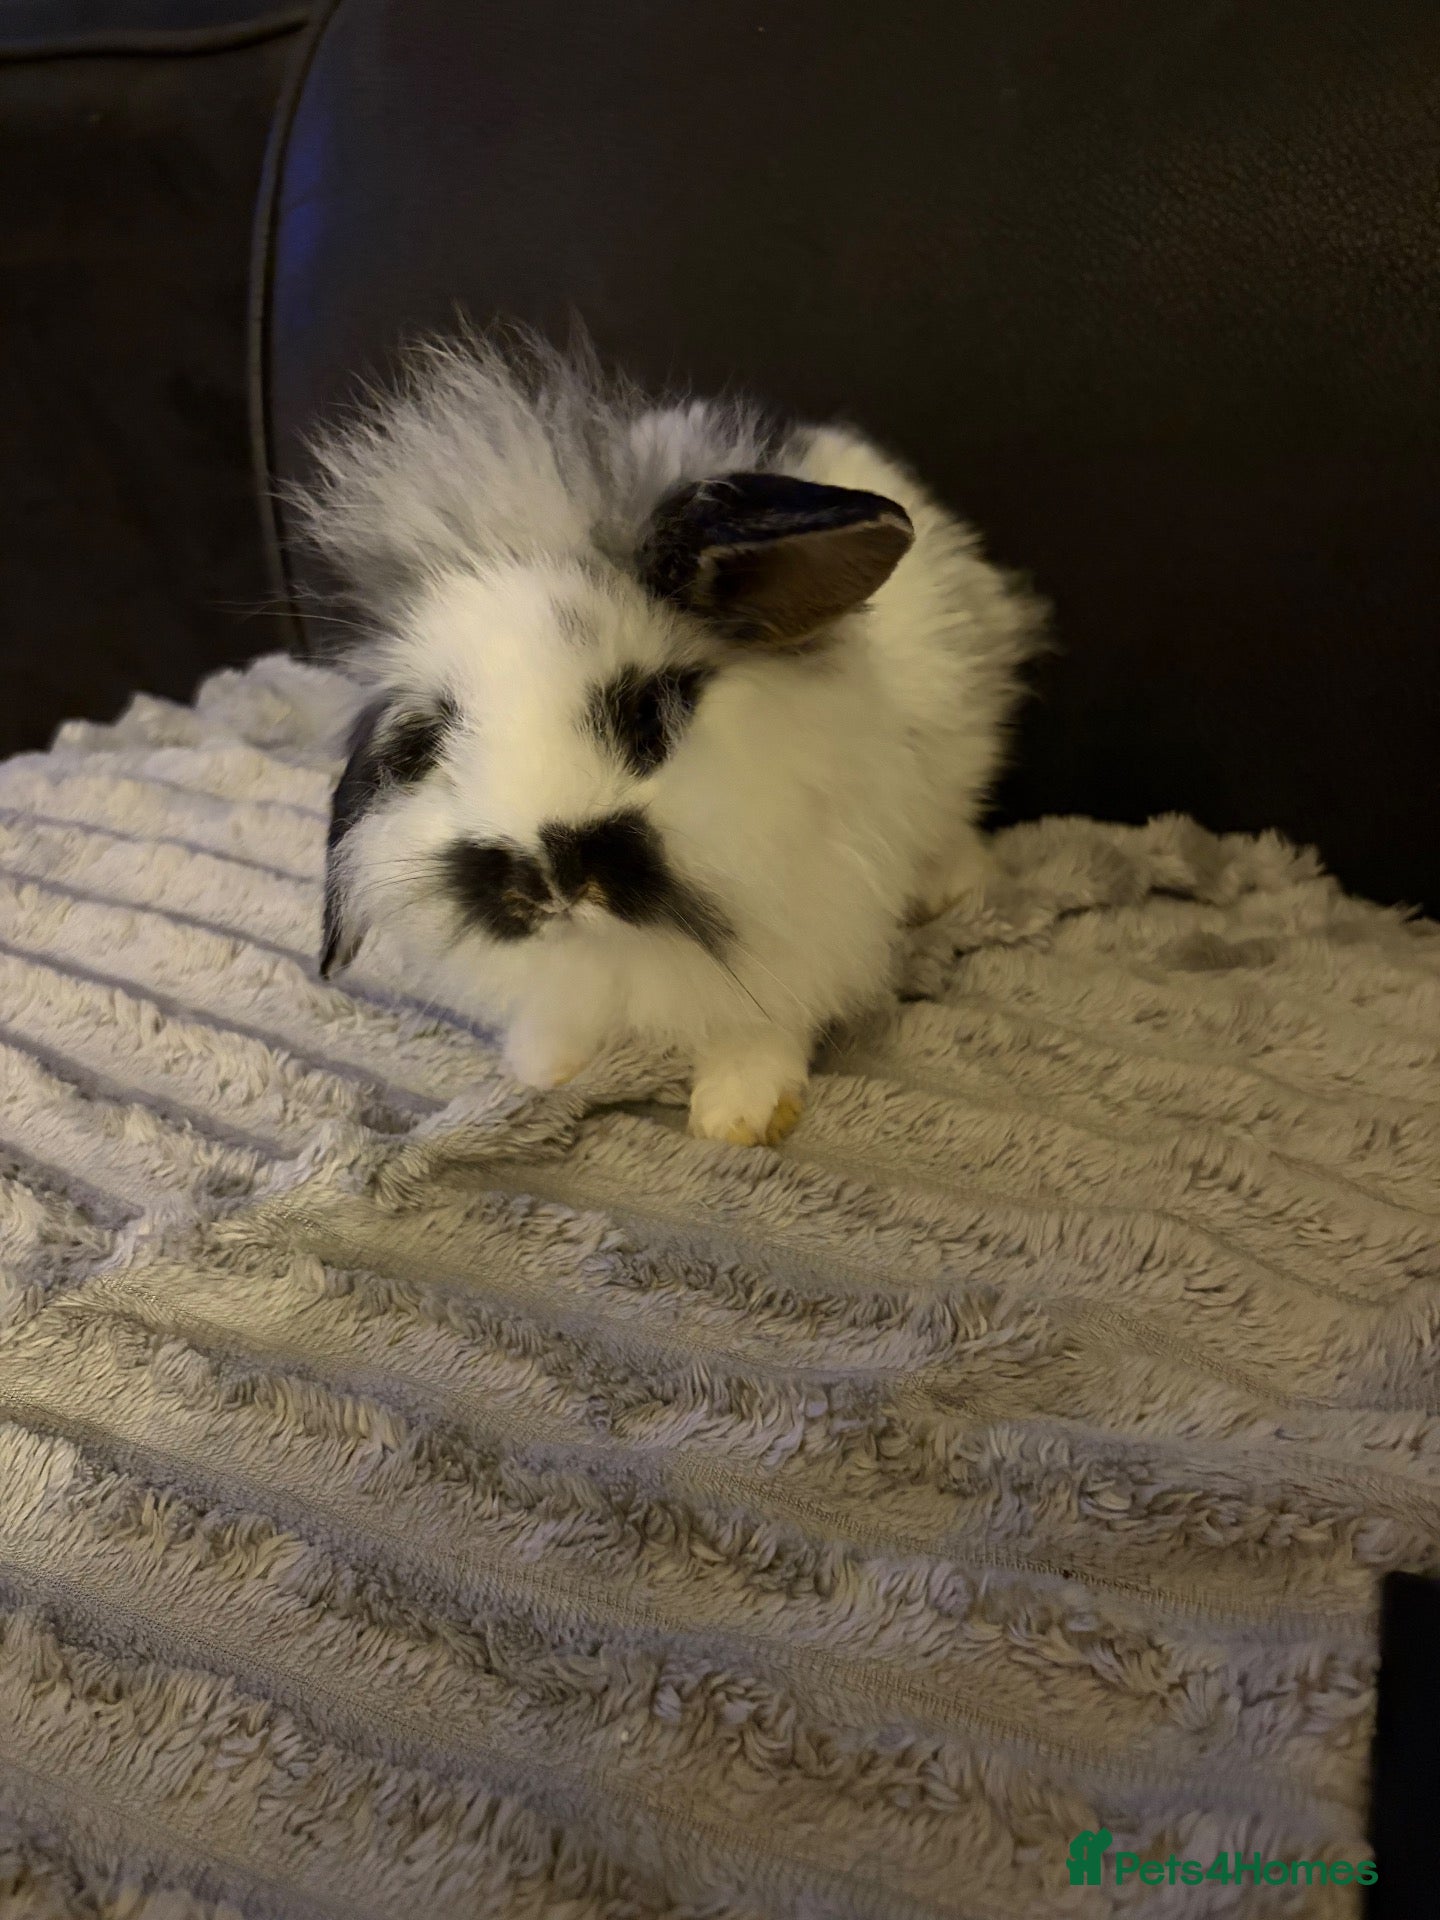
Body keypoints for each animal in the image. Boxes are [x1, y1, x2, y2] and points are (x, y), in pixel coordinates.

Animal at [299, 334, 1044, 1146]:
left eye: (651, 715)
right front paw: (543, 1070)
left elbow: (761, 1023)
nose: (545, 881)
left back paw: (949, 888)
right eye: (433, 743)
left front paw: (739, 1114)